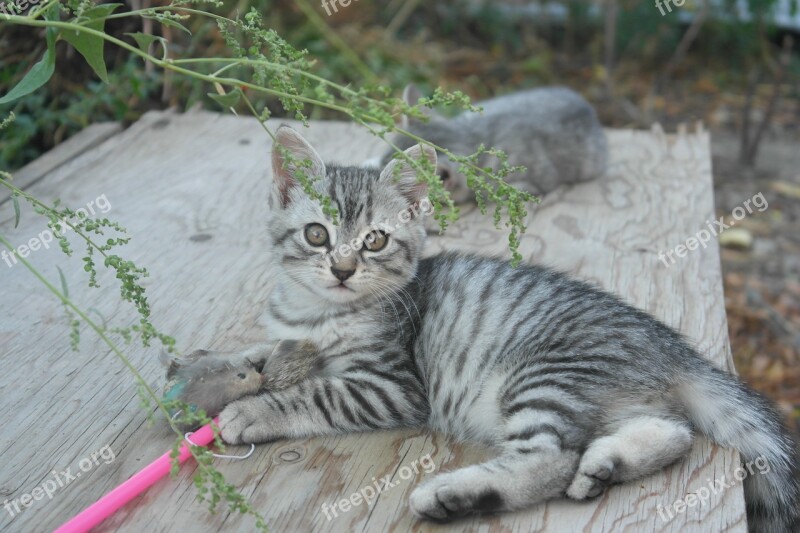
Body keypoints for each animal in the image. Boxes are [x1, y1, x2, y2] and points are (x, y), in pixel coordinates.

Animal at [220, 125, 800, 532]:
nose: (342, 269)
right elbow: (261, 354)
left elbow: (317, 393)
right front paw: (233, 372)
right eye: (317, 234)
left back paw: (453, 496)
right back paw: (606, 464)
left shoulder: (392, 384)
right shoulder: (292, 337)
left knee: (551, 459)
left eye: (375, 241)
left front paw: (252, 411)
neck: (317, 312)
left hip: (542, 376)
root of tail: (670, 346)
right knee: (674, 431)